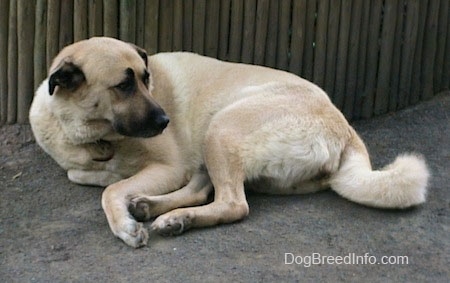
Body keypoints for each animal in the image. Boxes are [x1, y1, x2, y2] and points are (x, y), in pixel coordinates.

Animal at [29, 37, 430, 248]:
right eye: (124, 85)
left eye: (146, 79)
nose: (165, 121)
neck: (90, 133)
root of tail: (344, 126)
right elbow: (84, 175)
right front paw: (120, 190)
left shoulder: (169, 166)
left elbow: (109, 190)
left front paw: (124, 225)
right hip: (216, 138)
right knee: (203, 190)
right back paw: (154, 208)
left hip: (221, 127)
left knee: (234, 204)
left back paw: (172, 217)